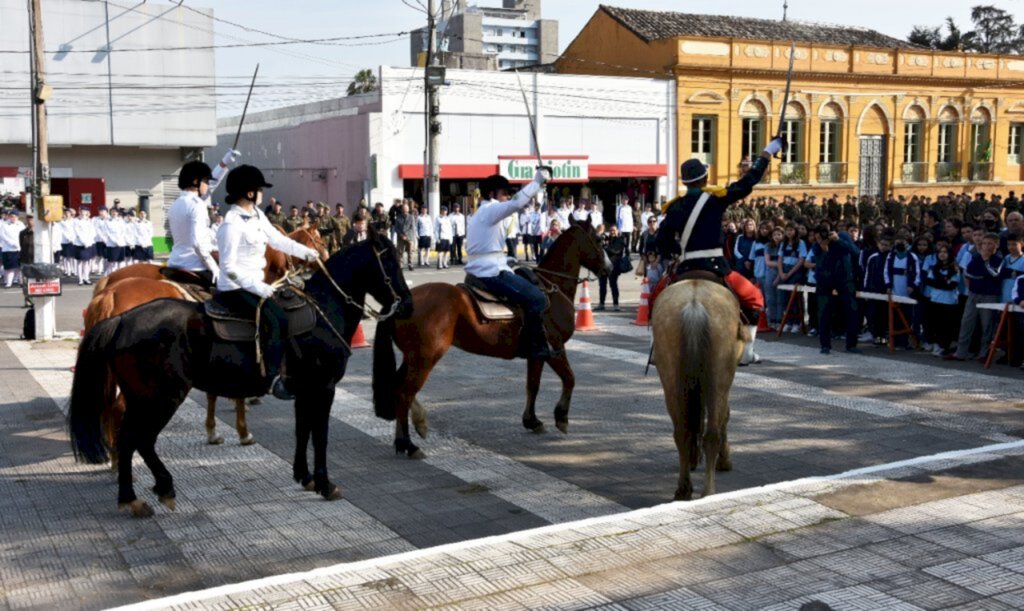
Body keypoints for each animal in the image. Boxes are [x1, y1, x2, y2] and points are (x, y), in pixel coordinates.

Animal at [68, 232, 413, 513]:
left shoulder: (304, 389)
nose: (407, 306)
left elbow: (303, 431)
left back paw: (130, 495)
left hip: (142, 397)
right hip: (160, 397)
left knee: (129, 436)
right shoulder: (323, 388)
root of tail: (121, 319)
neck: (324, 310)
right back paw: (156, 489)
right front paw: (325, 484)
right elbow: (321, 435)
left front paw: (304, 477)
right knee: (138, 438)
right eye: (389, 264)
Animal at [376, 215, 614, 458]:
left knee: (398, 389)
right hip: (425, 358)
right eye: (598, 239)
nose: (609, 267)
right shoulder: (555, 350)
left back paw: (405, 437)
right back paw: (408, 443)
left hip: (412, 358)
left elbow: (533, 385)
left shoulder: (537, 354)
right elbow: (570, 378)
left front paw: (532, 420)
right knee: (405, 393)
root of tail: (402, 302)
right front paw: (561, 417)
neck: (550, 289)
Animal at [651, 278, 749, 497]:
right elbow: (725, 417)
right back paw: (708, 491)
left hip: (671, 380)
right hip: (719, 378)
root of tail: (694, 305)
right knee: (712, 433)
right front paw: (724, 460)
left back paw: (683, 489)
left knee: (682, 431)